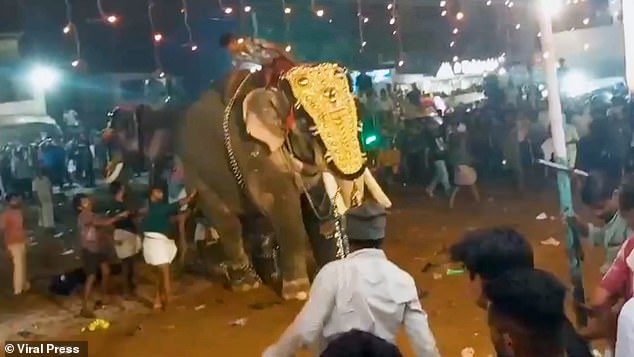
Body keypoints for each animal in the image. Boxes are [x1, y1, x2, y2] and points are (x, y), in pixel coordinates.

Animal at [103, 62, 390, 298]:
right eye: (308, 125)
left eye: (359, 119)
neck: (275, 87)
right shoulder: (254, 150)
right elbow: (282, 207)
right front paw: (298, 293)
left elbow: (317, 210)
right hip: (198, 174)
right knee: (228, 223)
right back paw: (246, 284)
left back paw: (269, 275)